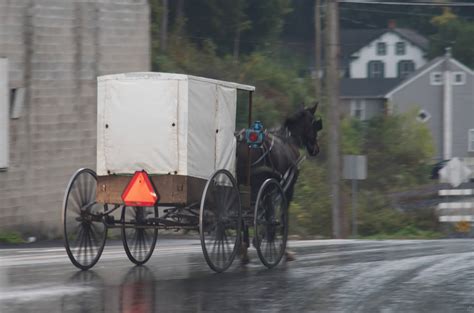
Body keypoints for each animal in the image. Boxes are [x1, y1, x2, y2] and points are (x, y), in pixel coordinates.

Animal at [236, 102, 322, 260]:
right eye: (315, 124)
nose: (316, 149)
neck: (289, 140)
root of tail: (243, 142)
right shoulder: (287, 188)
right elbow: (282, 214)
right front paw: (284, 249)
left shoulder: (269, 188)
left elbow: (266, 211)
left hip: (240, 182)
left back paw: (242, 248)